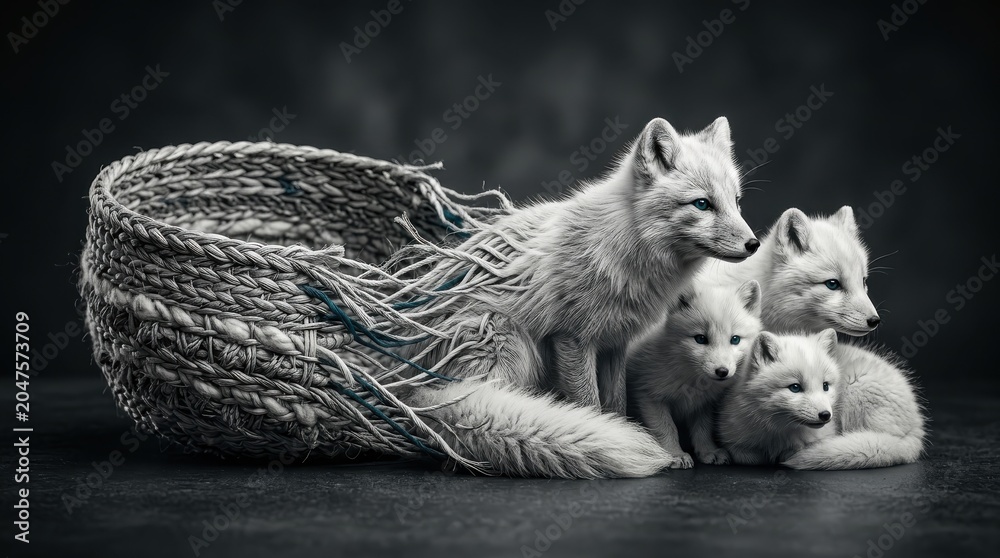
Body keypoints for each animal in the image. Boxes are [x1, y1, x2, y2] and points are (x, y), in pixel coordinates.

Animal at [626, 280, 762, 469]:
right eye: (700, 339)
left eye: (735, 339)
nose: (722, 371)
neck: (692, 382)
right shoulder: (650, 397)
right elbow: (666, 429)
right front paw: (674, 454)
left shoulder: (703, 404)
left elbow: (703, 430)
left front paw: (708, 452)